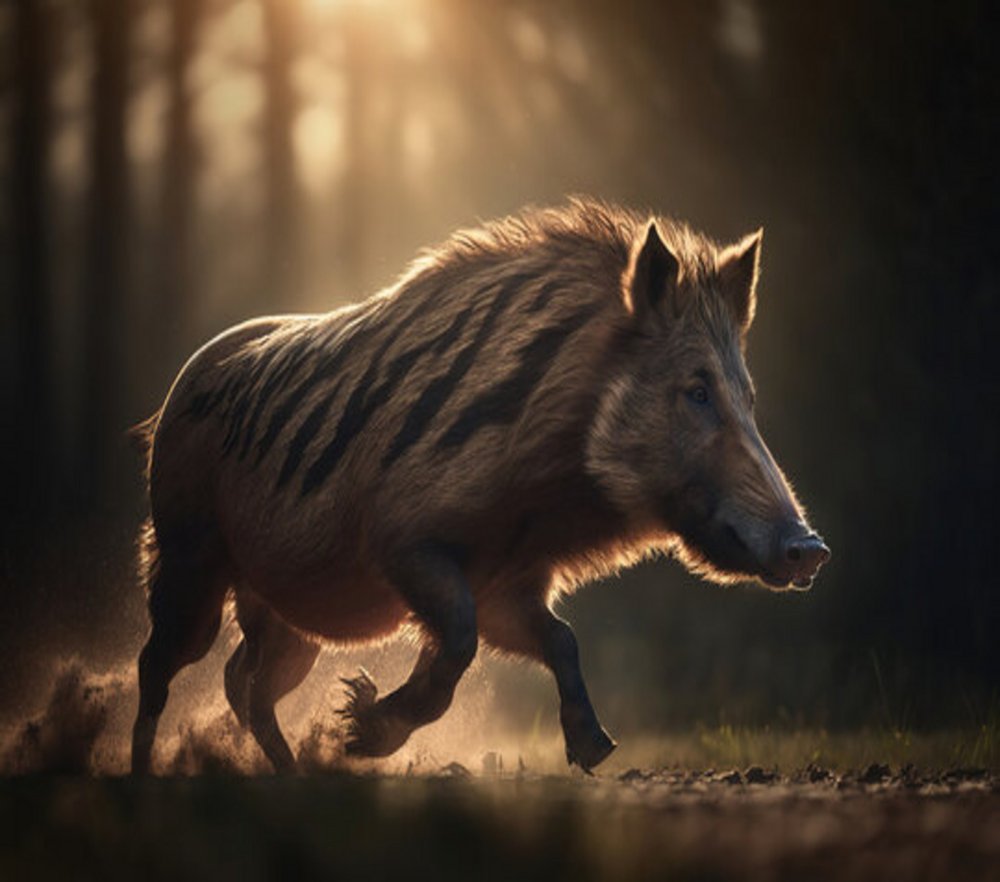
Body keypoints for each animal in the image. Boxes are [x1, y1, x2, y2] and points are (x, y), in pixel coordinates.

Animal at [130, 199, 829, 774]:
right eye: (697, 389)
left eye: (747, 396)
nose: (811, 549)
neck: (539, 494)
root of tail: (173, 395)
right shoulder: (402, 544)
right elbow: (461, 640)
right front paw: (359, 727)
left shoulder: (510, 582)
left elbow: (558, 638)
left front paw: (597, 751)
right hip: (186, 552)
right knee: (160, 664)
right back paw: (140, 773)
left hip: (283, 612)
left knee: (244, 680)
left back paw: (295, 773)